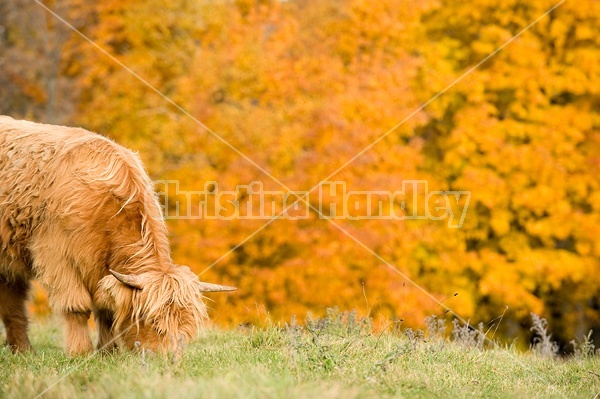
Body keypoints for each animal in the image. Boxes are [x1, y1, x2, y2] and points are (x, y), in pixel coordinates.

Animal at [0, 115, 234, 356]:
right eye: (151, 321)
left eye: (185, 328)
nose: (170, 359)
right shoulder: (57, 257)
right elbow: (76, 306)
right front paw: (80, 353)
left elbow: (108, 311)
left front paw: (108, 352)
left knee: (12, 305)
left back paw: (22, 350)